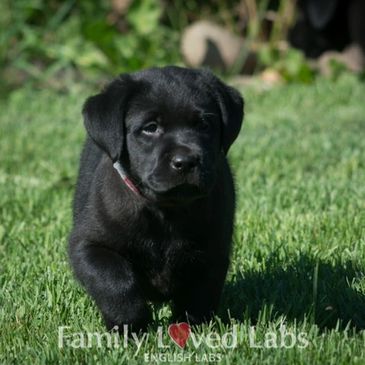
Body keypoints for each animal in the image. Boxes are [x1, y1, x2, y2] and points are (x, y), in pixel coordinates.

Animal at [69, 66, 243, 330]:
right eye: (150, 128)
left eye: (204, 125)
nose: (186, 161)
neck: (166, 210)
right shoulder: (88, 246)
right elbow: (115, 282)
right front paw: (130, 326)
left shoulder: (213, 250)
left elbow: (199, 295)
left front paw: (191, 328)